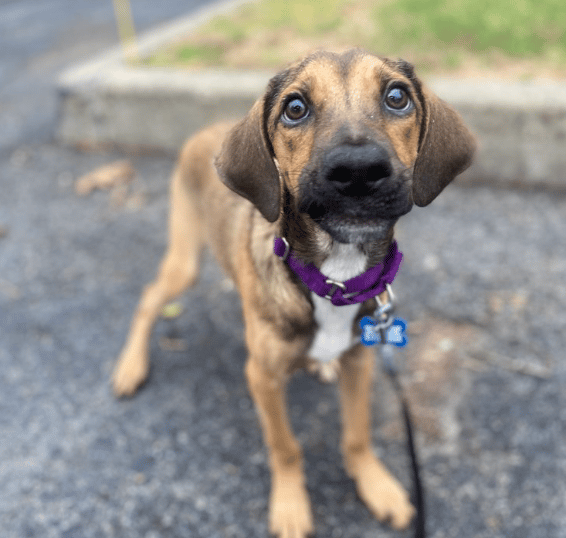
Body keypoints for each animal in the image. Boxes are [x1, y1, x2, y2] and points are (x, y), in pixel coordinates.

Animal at [113, 49, 478, 532]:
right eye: (295, 108)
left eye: (397, 96)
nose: (358, 171)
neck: (334, 279)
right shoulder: (262, 378)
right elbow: (285, 447)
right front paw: (289, 505)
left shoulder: (360, 362)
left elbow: (357, 435)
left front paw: (376, 485)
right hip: (185, 261)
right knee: (148, 299)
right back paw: (130, 366)